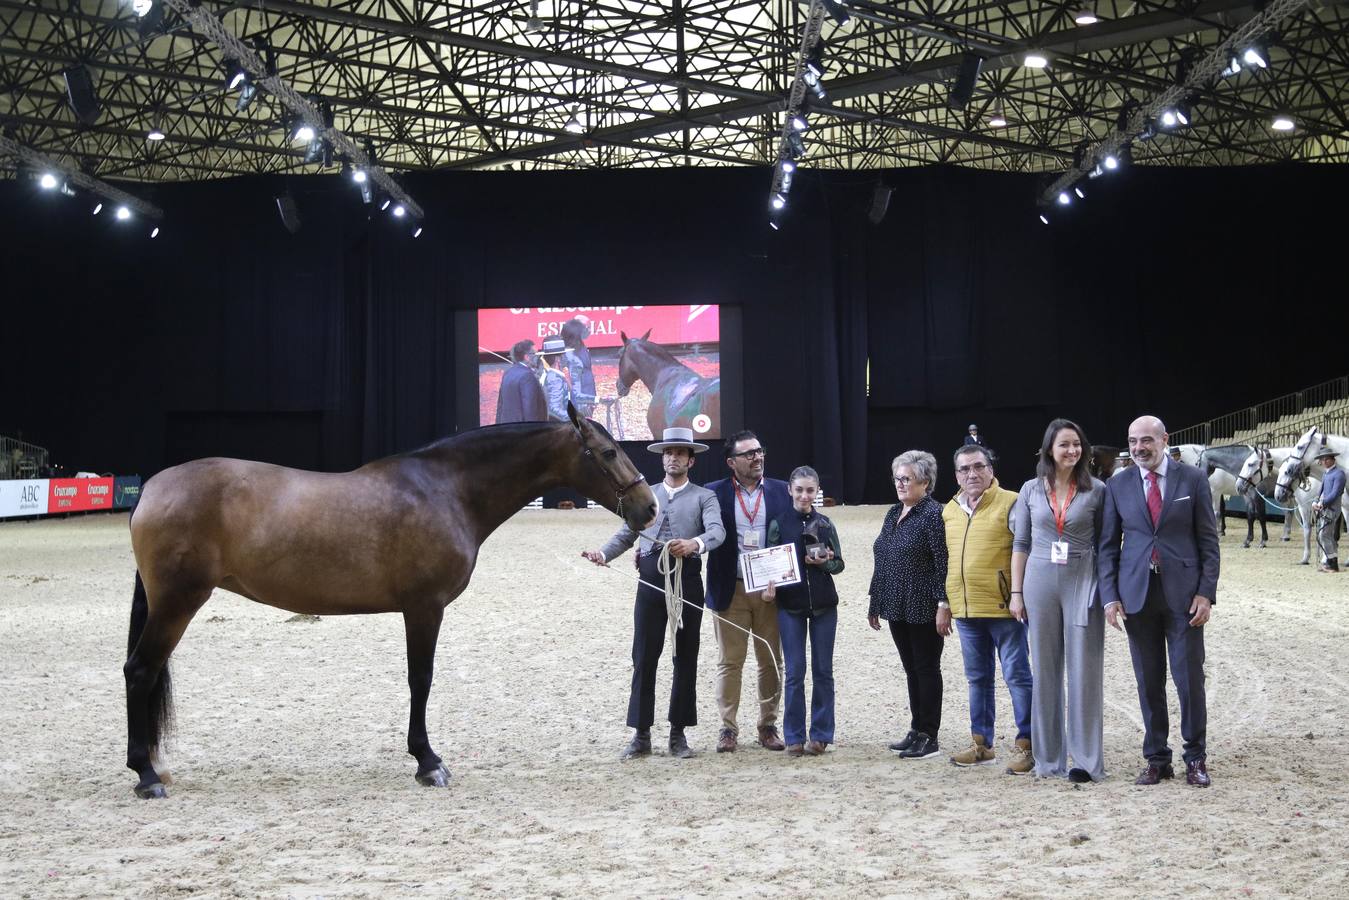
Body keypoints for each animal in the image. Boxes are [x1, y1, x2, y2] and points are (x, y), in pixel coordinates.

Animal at [123, 406, 658, 799]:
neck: (446, 490)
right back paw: (146, 776)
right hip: (178, 602)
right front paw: (428, 763)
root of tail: (151, 488)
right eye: (608, 451)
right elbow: (420, 680)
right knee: (140, 671)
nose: (649, 507)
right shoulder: (424, 607)